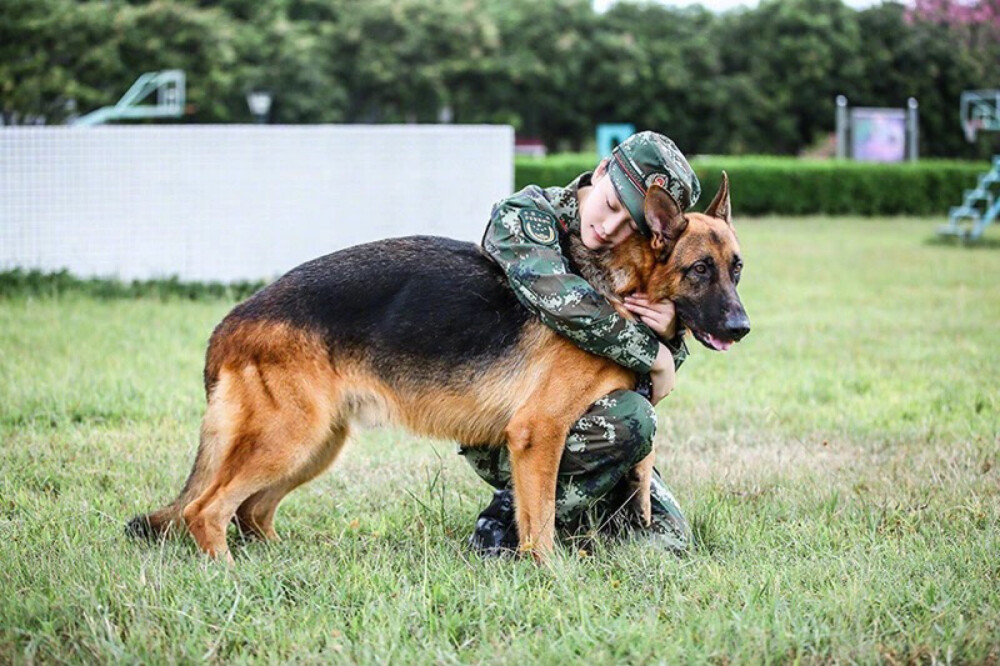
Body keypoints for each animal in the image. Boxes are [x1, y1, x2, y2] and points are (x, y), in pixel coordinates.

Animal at [129, 170, 748, 556]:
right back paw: (232, 575)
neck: (622, 284)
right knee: (207, 511)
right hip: (289, 438)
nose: (741, 328)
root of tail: (231, 321)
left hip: (316, 445)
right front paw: (550, 577)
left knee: (253, 512)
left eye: (736, 268)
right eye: (699, 270)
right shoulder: (539, 432)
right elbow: (542, 523)